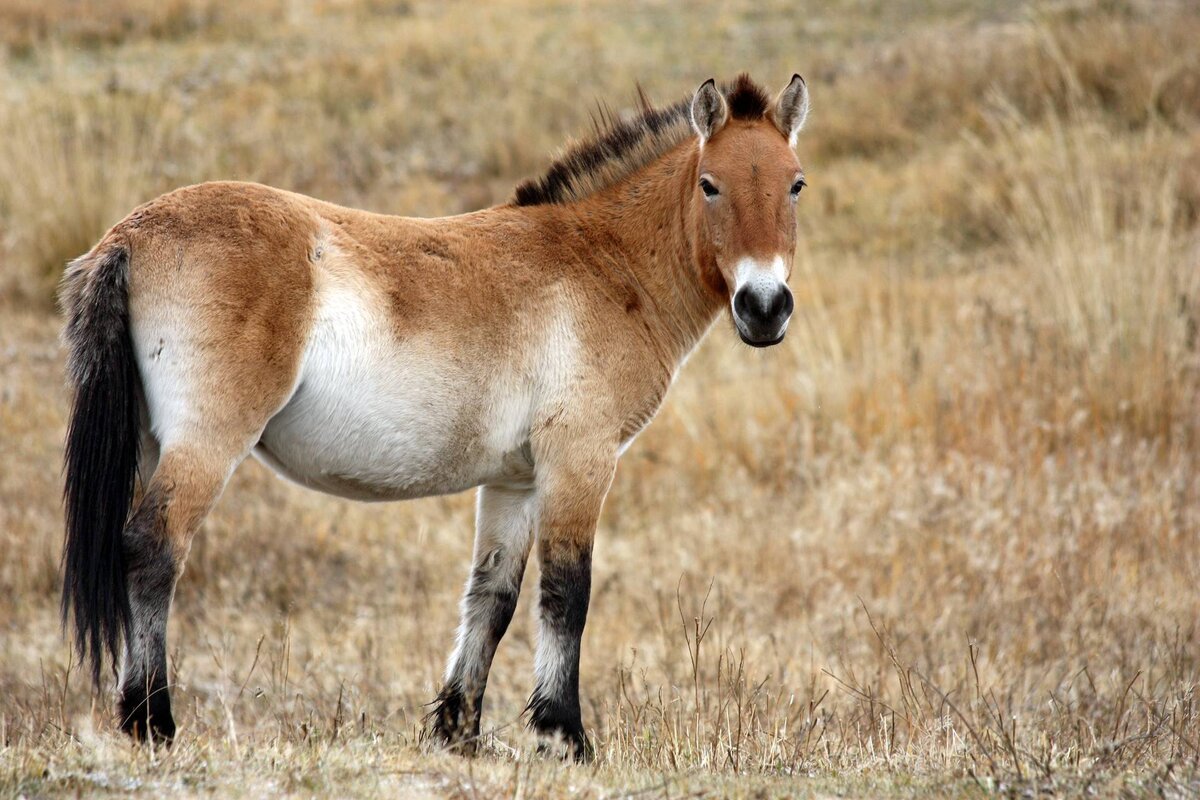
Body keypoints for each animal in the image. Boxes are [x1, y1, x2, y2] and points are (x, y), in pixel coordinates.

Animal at [63, 71, 816, 762]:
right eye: (711, 185)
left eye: (796, 185)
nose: (765, 308)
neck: (604, 264)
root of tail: (128, 237)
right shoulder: (580, 461)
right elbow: (566, 594)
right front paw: (565, 737)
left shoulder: (515, 481)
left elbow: (493, 597)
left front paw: (459, 733)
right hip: (207, 444)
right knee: (154, 547)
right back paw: (152, 723)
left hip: (148, 444)